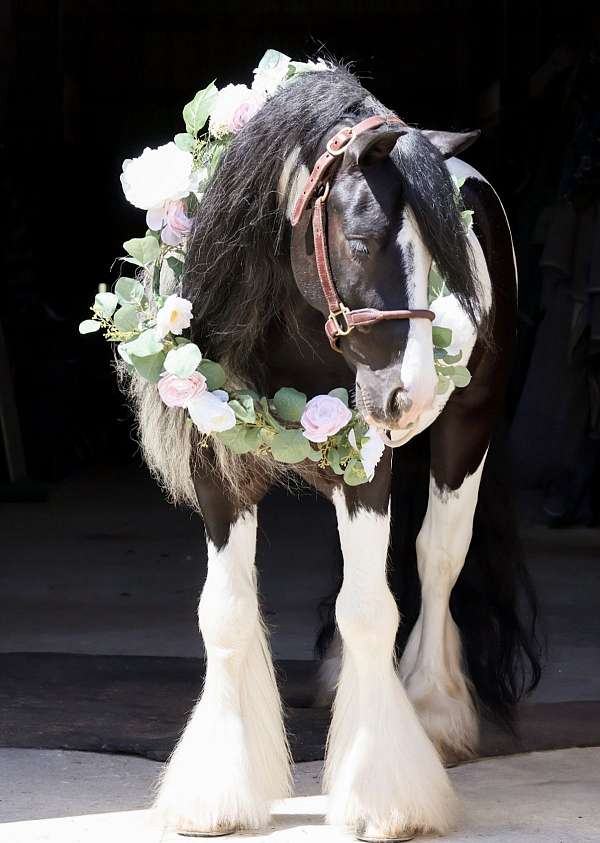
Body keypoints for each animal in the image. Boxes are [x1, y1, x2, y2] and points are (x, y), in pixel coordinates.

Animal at [128, 65, 540, 840]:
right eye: (363, 240)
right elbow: (226, 611)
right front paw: (218, 793)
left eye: (439, 259)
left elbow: (374, 607)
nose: (410, 395)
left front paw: (385, 795)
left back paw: (434, 712)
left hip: (464, 433)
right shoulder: (217, 466)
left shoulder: (368, 464)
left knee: (436, 559)